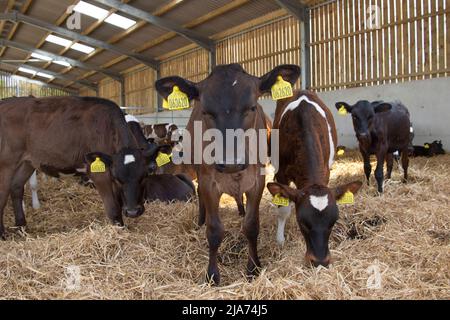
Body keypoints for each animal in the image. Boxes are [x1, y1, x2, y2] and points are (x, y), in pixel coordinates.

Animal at [268, 90, 362, 268]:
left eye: (333, 222)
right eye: (302, 222)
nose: (319, 261)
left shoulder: (326, 172)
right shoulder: (281, 173)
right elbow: (283, 210)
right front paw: (280, 240)